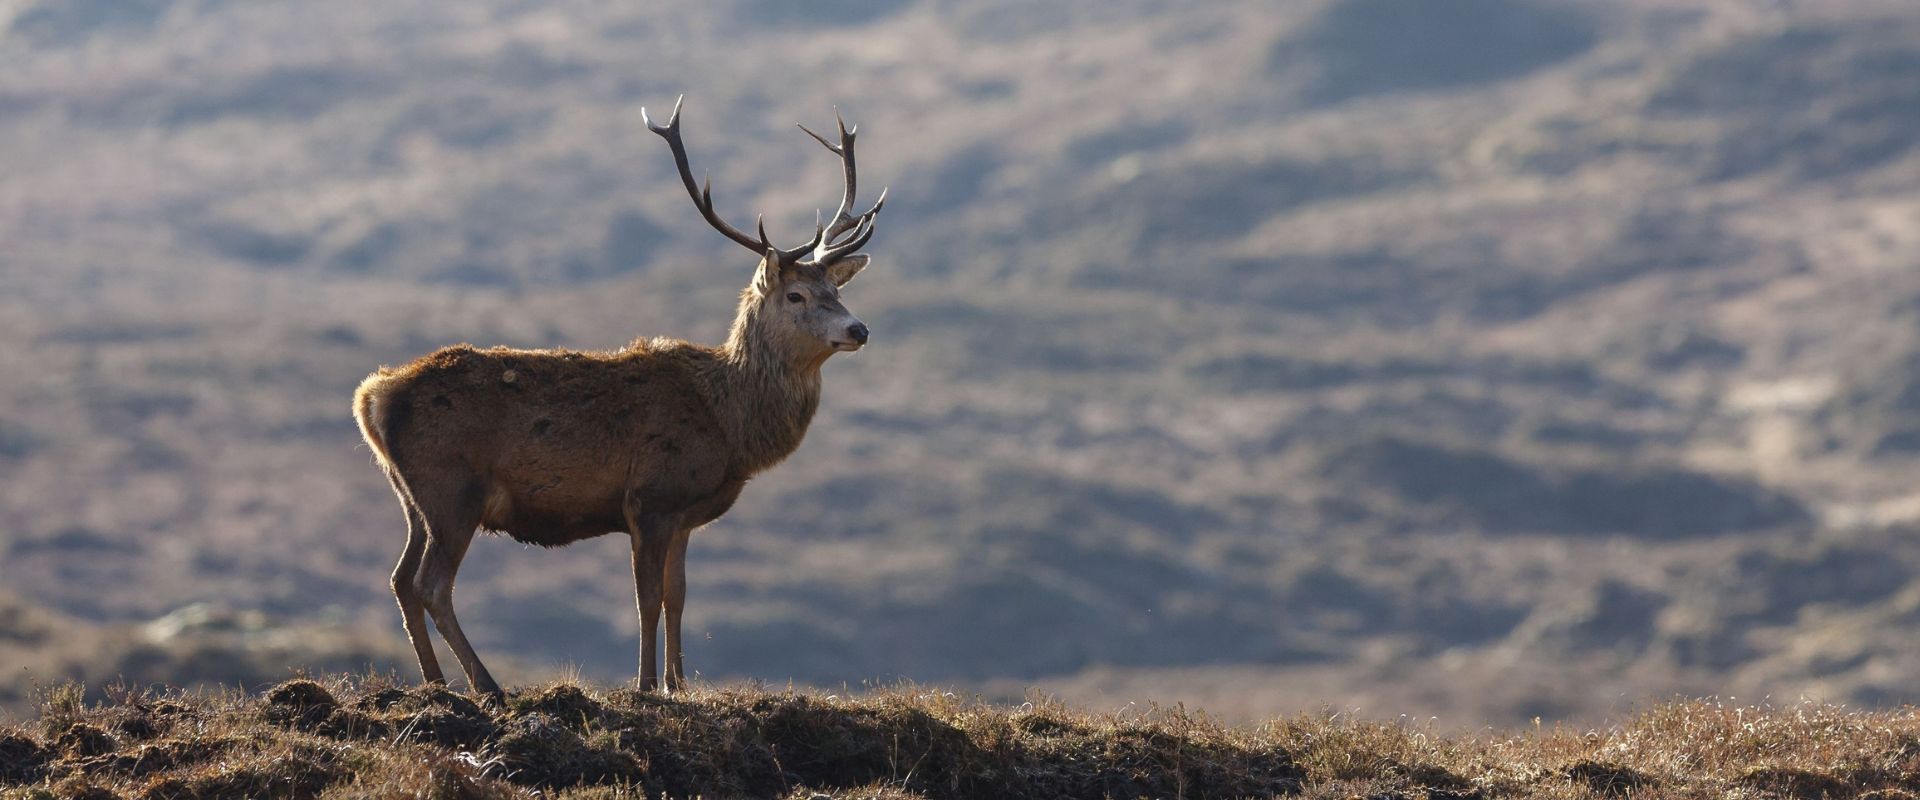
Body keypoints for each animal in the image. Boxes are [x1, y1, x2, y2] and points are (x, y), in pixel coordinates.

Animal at [351, 96, 883, 698]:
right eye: (796, 295)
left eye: (836, 289)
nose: (859, 329)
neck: (729, 424)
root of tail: (373, 395)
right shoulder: (650, 496)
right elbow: (647, 598)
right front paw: (647, 683)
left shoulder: (683, 514)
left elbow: (678, 597)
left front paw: (679, 683)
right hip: (452, 488)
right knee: (431, 583)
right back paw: (486, 684)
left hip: (413, 496)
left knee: (401, 579)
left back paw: (436, 683)